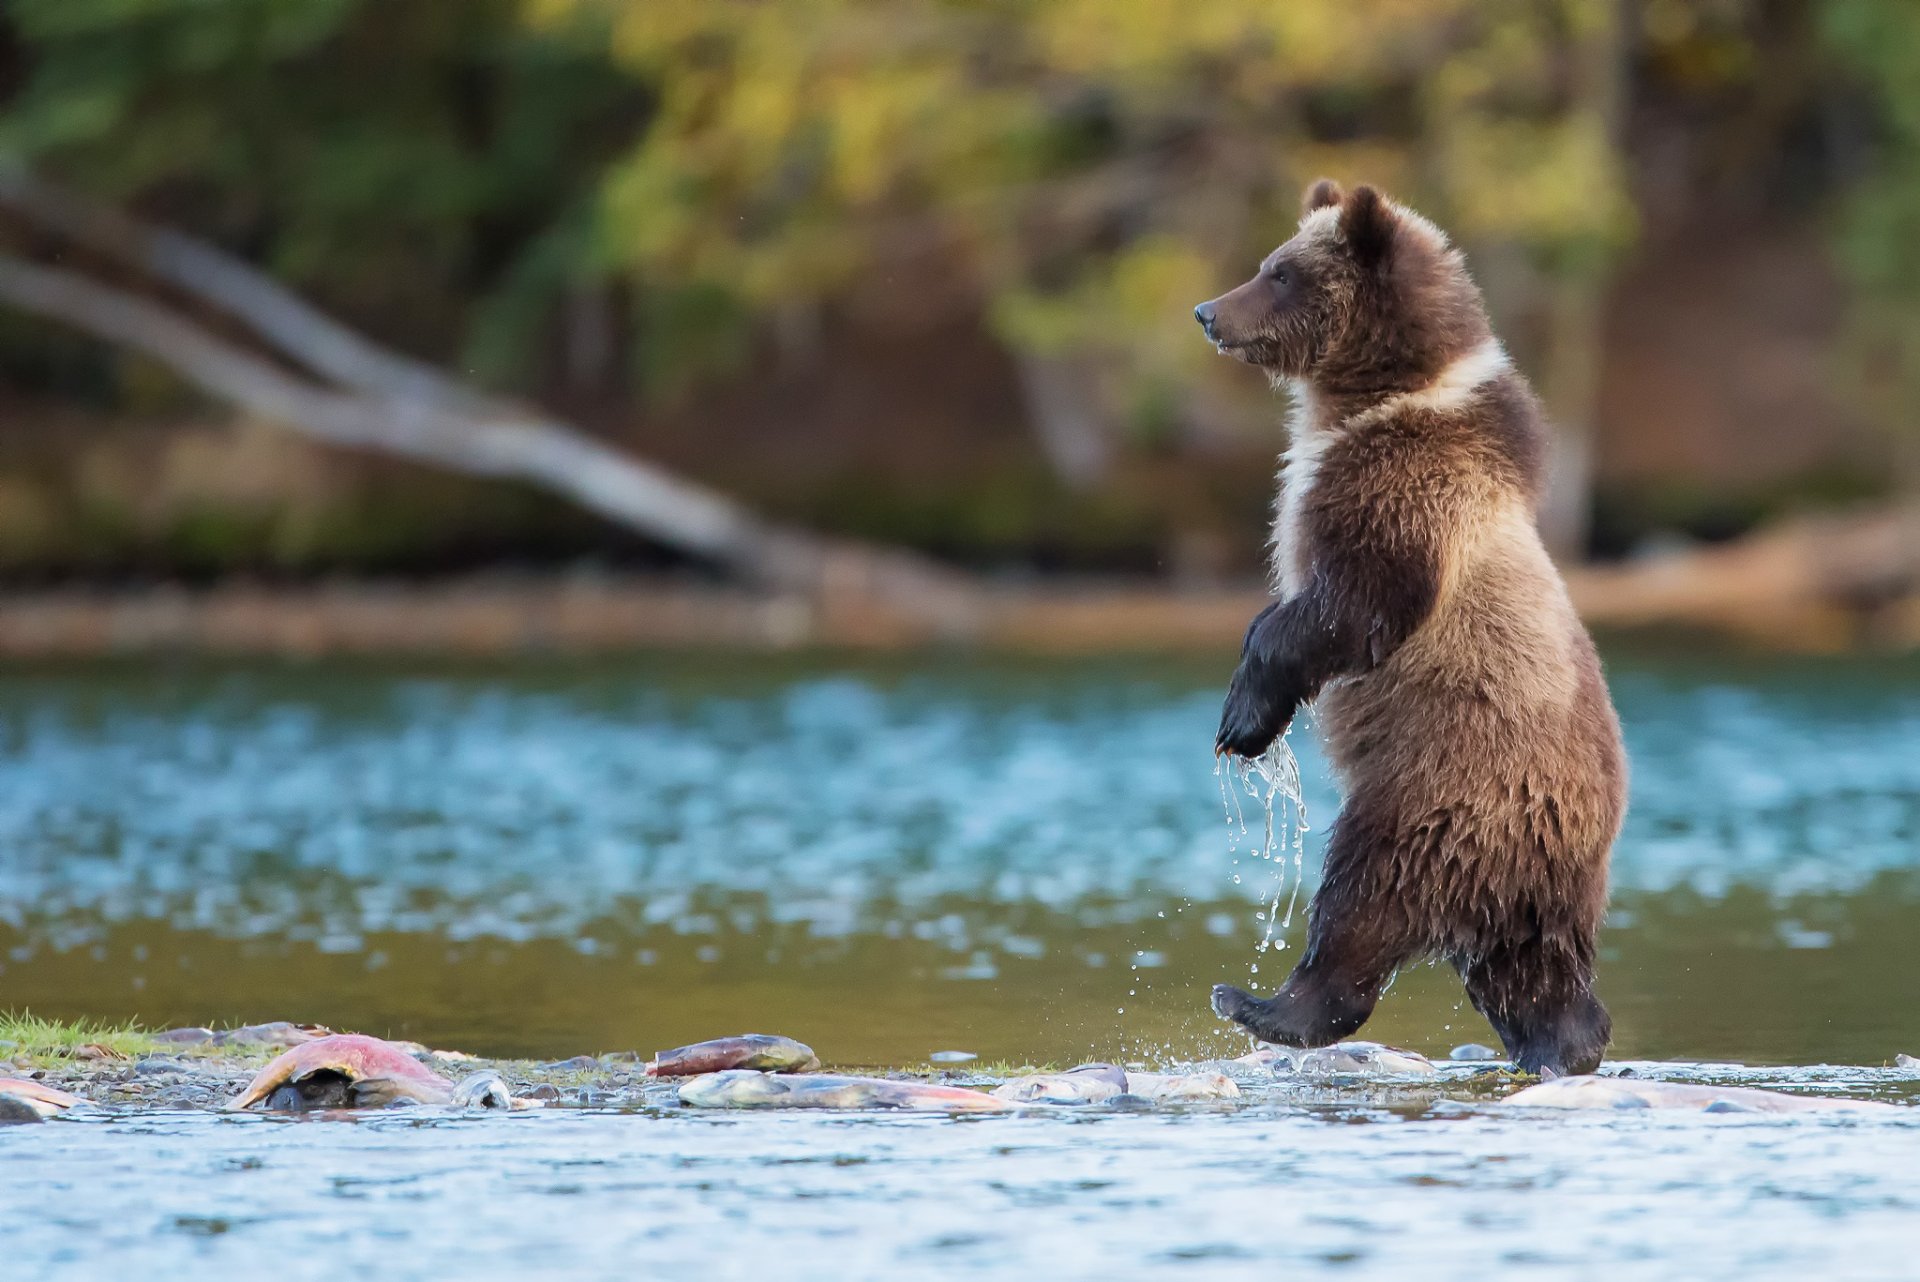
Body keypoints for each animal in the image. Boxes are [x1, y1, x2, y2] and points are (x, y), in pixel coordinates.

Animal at [1192, 180, 1627, 1077]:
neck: (1376, 400)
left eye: (1279, 272)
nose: (1209, 312)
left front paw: (1243, 719)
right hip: (1539, 889)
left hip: (1435, 792)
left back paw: (1261, 1004)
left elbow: (1351, 606)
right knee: (1535, 974)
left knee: (1361, 902)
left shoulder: (1404, 492)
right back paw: (1562, 1048)